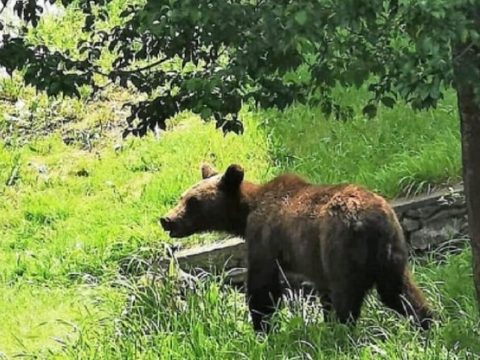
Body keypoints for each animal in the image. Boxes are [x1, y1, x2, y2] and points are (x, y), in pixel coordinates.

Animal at [159, 163, 434, 332]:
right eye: (182, 196)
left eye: (193, 202)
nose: (167, 219)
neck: (246, 213)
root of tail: (370, 221)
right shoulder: (315, 260)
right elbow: (322, 293)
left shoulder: (263, 238)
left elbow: (263, 287)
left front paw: (261, 328)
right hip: (391, 249)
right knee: (399, 292)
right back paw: (427, 323)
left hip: (341, 248)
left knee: (346, 296)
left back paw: (341, 335)